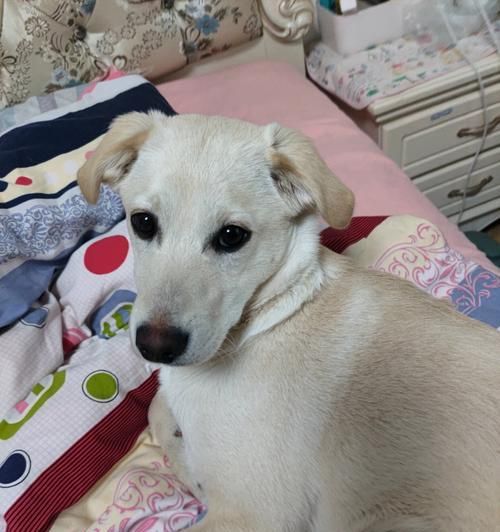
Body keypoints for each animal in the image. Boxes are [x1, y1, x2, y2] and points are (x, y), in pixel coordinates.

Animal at [78, 112, 500, 532]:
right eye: (143, 223)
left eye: (231, 236)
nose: (155, 346)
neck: (268, 315)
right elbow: (158, 408)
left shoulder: (253, 513)